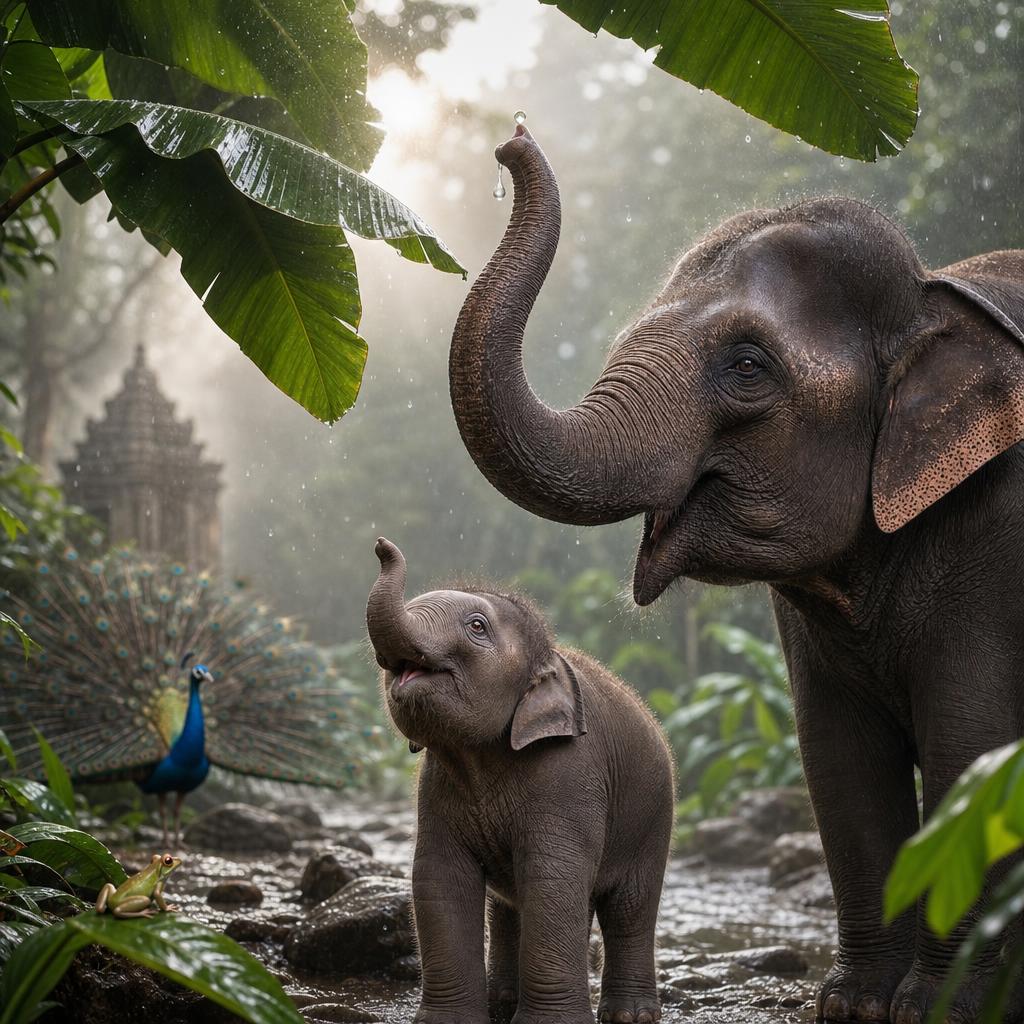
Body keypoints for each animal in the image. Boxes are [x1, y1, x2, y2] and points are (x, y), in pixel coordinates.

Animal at [365, 537, 674, 1024]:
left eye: (477, 626)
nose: (381, 544)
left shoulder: (571, 773)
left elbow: (553, 878)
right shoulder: (435, 786)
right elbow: (438, 877)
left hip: (653, 817)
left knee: (630, 907)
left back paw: (630, 1016)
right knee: (510, 908)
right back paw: (503, 1002)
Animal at [448, 125, 1024, 1024]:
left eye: (748, 366)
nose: (510, 140)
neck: (936, 295)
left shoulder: (996, 535)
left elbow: (971, 747)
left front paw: (931, 1010)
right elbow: (839, 758)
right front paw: (852, 1007)